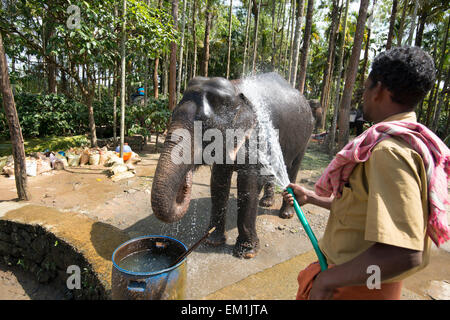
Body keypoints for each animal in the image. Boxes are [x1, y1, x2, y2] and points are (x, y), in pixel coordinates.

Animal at [151, 72, 312, 258]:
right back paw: (266, 203)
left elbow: (248, 185)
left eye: (205, 125)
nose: (187, 178)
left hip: (305, 138)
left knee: (292, 169)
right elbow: (218, 182)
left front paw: (247, 252)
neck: (236, 91)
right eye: (172, 114)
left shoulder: (256, 137)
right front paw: (212, 241)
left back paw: (285, 214)